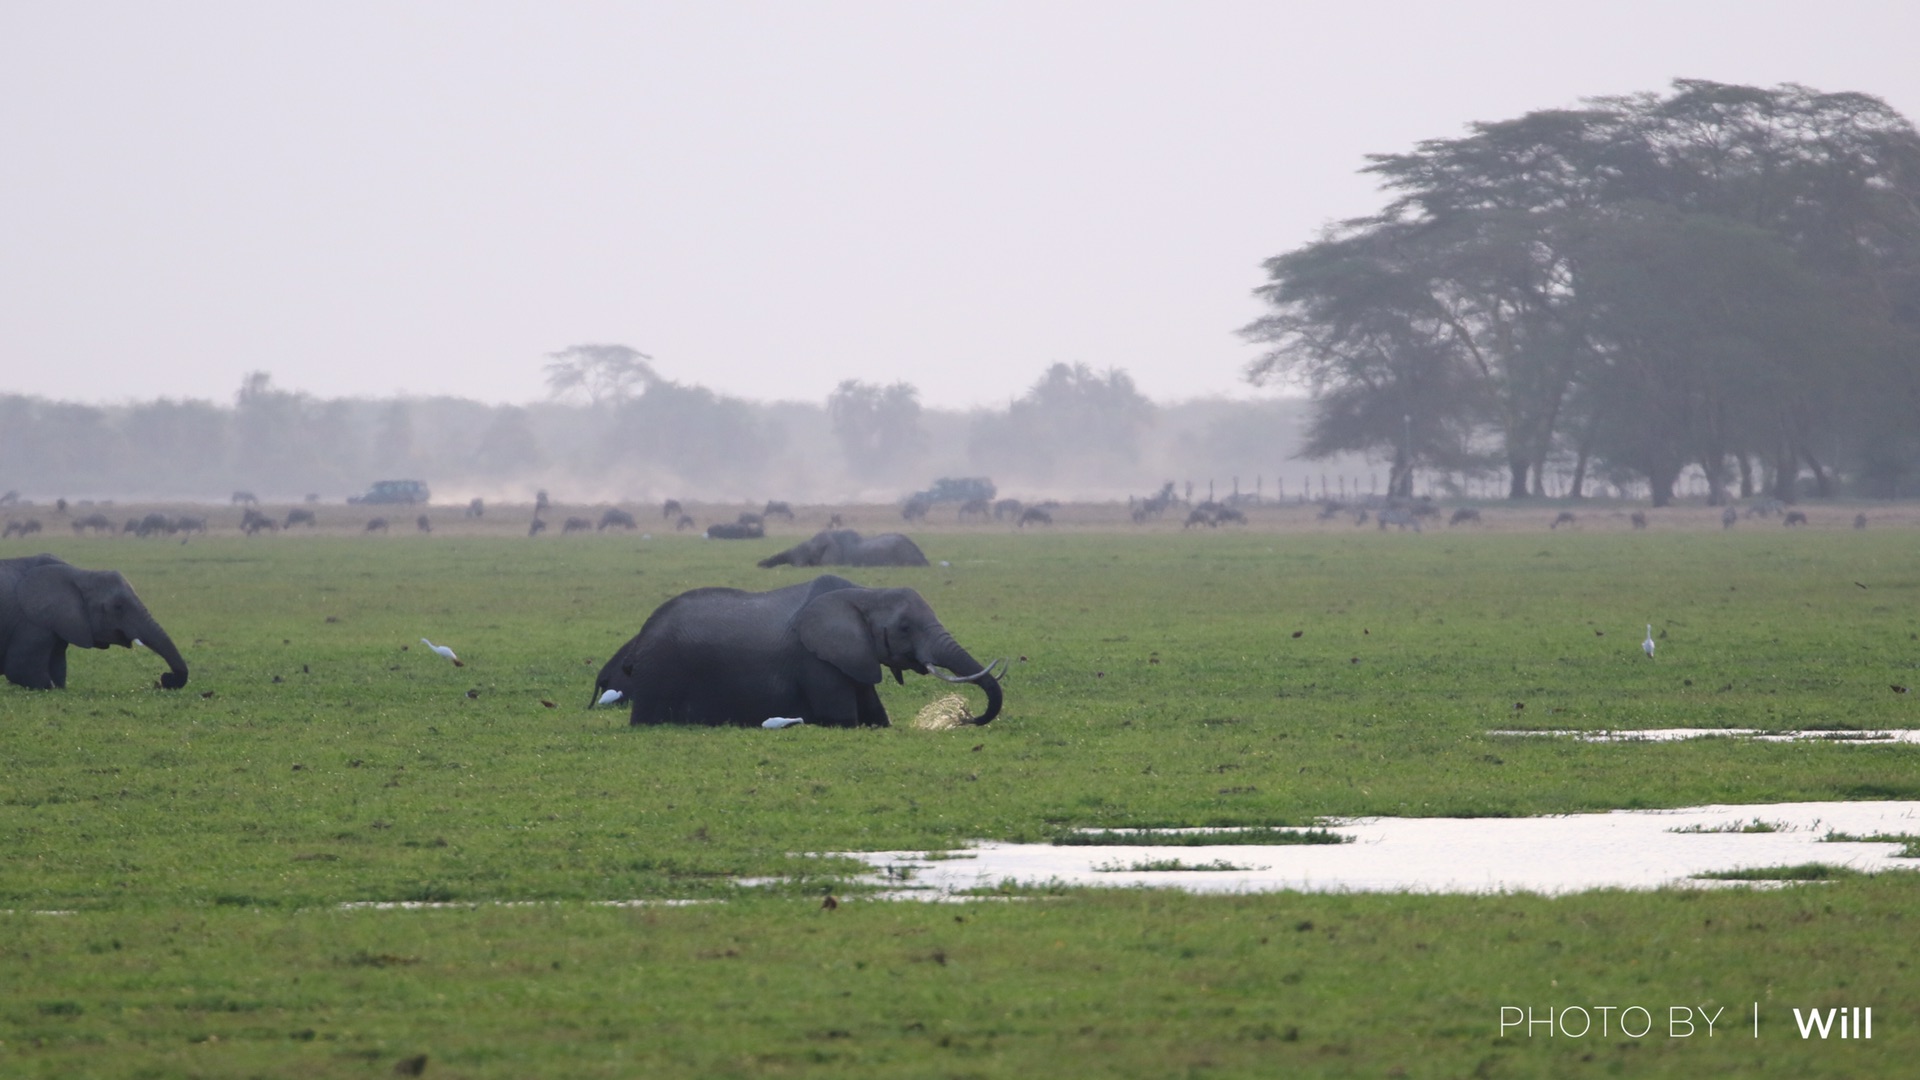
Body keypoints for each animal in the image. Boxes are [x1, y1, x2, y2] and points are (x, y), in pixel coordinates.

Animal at [0, 553, 189, 687]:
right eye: (118, 607)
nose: (164, 678)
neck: (81, 574)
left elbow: (58, 667)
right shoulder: (32, 624)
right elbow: (21, 670)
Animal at [587, 572, 1006, 722]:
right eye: (905, 627)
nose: (965, 718)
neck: (864, 592)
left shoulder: (851, 657)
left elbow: (874, 712)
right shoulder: (815, 662)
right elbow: (842, 718)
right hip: (660, 678)